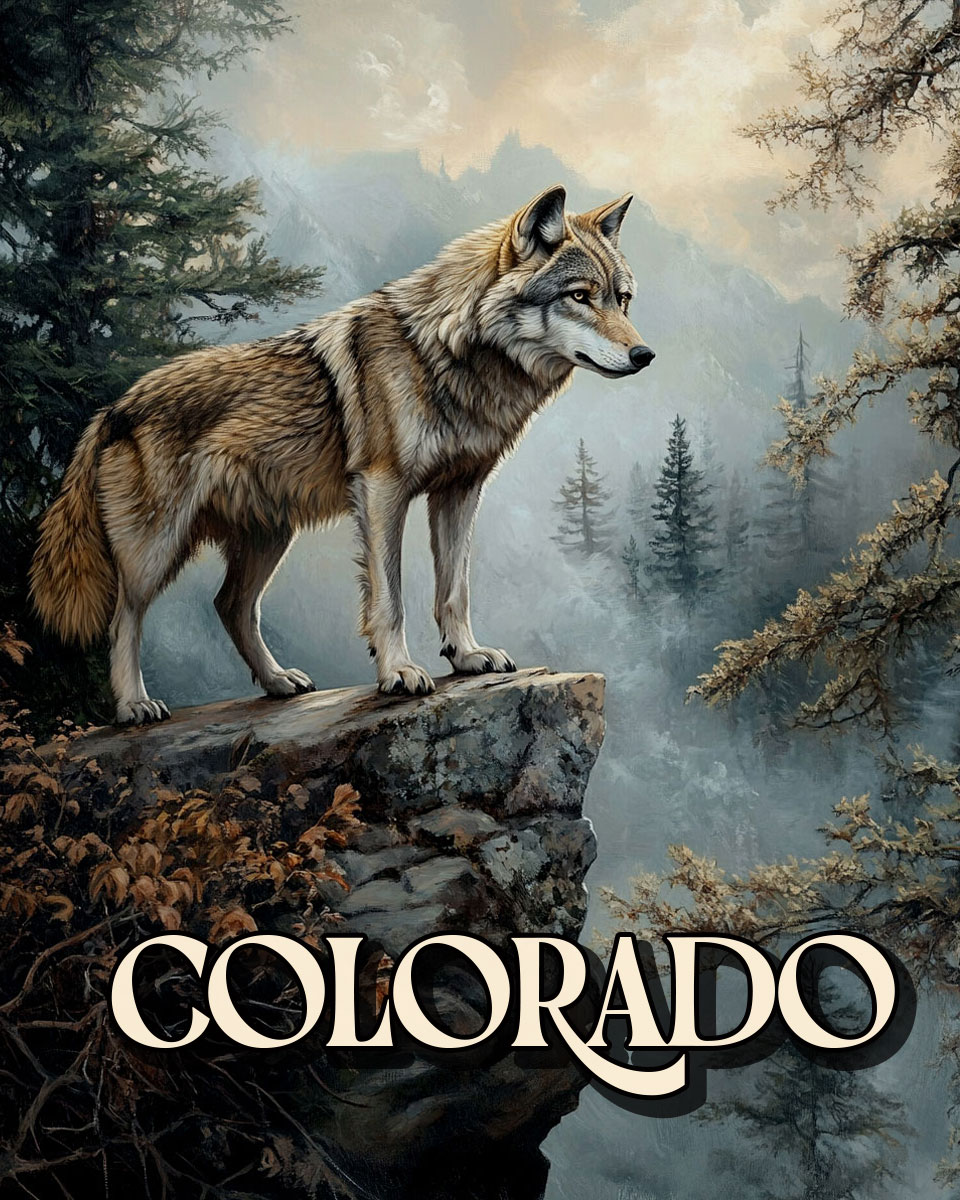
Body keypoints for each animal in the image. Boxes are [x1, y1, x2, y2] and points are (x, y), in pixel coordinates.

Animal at [30, 184, 654, 724]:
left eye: (622, 299)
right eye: (580, 297)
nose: (644, 355)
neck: (451, 351)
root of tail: (113, 408)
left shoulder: (459, 490)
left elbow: (454, 589)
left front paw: (467, 655)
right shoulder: (382, 491)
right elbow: (390, 598)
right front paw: (399, 672)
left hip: (268, 537)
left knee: (231, 606)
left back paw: (279, 683)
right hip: (157, 547)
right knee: (124, 618)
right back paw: (134, 705)